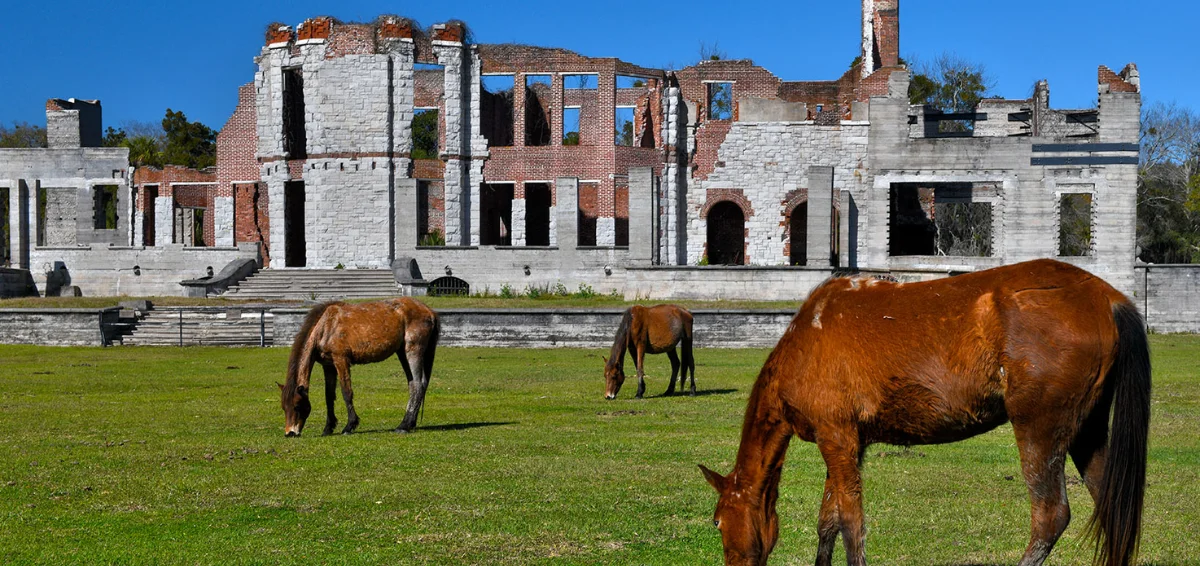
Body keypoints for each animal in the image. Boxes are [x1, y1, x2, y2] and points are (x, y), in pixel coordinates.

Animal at [278, 298, 439, 436]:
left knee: (418, 384)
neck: (326, 325)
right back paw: (410, 423)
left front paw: (349, 426)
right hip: (402, 353)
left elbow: (346, 392)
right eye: (284, 407)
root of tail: (429, 311)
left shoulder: (341, 360)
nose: (290, 432)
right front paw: (328, 428)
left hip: (413, 350)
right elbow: (329, 395)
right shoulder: (328, 366)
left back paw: (404, 426)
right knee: (414, 384)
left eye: (297, 405)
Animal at [700, 260, 1147, 566]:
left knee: (1051, 517)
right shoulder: (848, 444)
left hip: (1040, 430)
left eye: (718, 523)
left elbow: (850, 524)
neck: (806, 341)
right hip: (1086, 432)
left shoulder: (836, 438)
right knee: (1110, 507)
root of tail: (1104, 297)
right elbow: (829, 520)